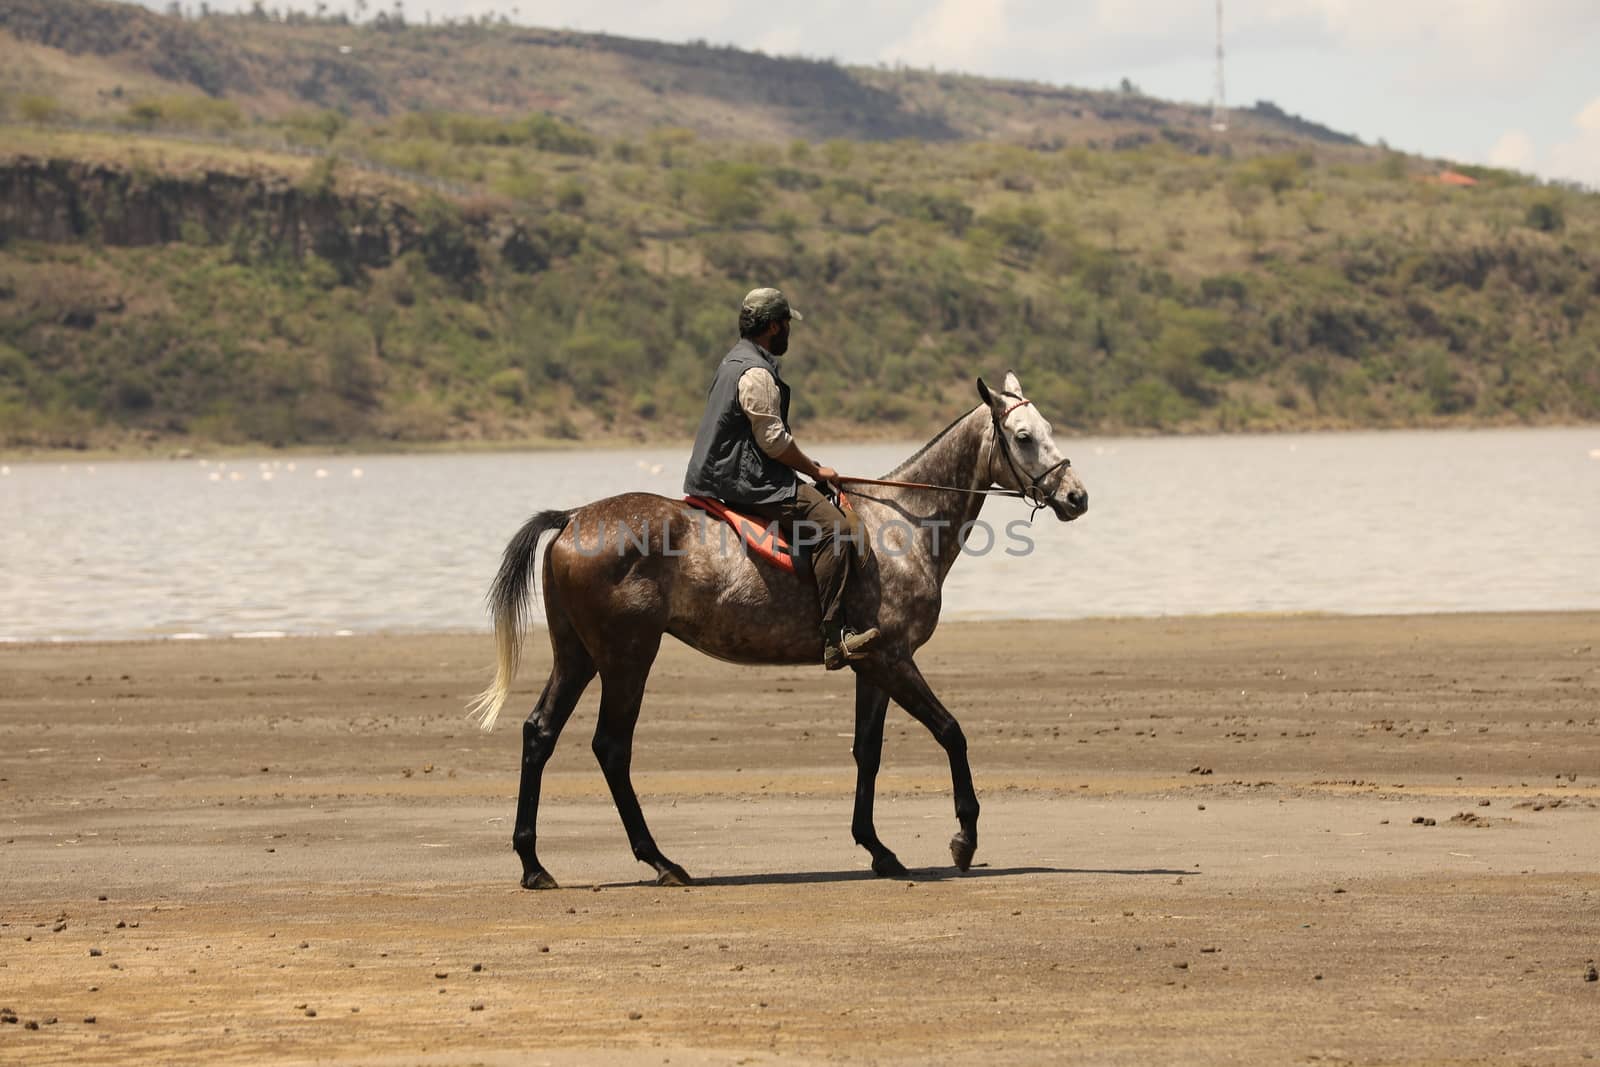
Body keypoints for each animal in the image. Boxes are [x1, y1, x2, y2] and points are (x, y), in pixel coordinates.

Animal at [467, 371, 1088, 889]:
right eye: (1024, 436)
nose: (1076, 497)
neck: (901, 523)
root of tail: (573, 517)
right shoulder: (894, 658)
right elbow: (951, 732)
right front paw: (964, 838)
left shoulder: (871, 666)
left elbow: (868, 752)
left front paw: (877, 849)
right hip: (627, 659)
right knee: (611, 747)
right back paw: (660, 861)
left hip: (577, 656)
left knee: (540, 733)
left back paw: (533, 864)